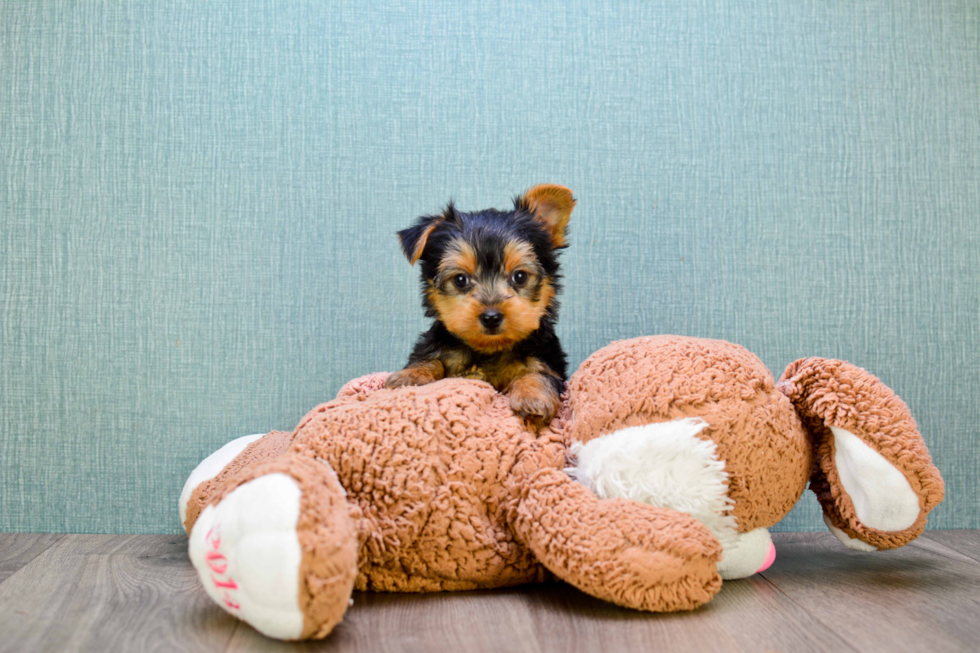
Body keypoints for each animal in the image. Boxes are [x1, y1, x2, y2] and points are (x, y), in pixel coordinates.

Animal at [384, 185, 576, 428]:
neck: (488, 350)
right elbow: (430, 359)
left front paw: (533, 398)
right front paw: (410, 375)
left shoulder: (548, 360)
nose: (491, 317)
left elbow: (538, 374)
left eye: (520, 276)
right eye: (460, 280)